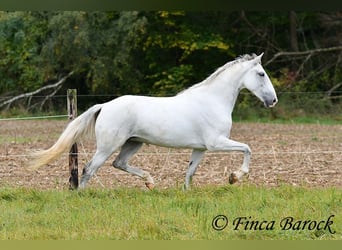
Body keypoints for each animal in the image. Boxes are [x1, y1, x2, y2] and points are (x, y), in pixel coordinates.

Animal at [29, 53, 278, 189]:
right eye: (261, 74)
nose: (273, 100)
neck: (213, 100)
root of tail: (105, 106)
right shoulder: (216, 143)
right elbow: (247, 148)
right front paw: (234, 177)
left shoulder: (200, 148)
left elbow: (190, 171)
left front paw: (186, 192)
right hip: (109, 145)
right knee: (90, 168)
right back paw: (82, 195)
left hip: (133, 143)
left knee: (118, 164)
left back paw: (150, 182)